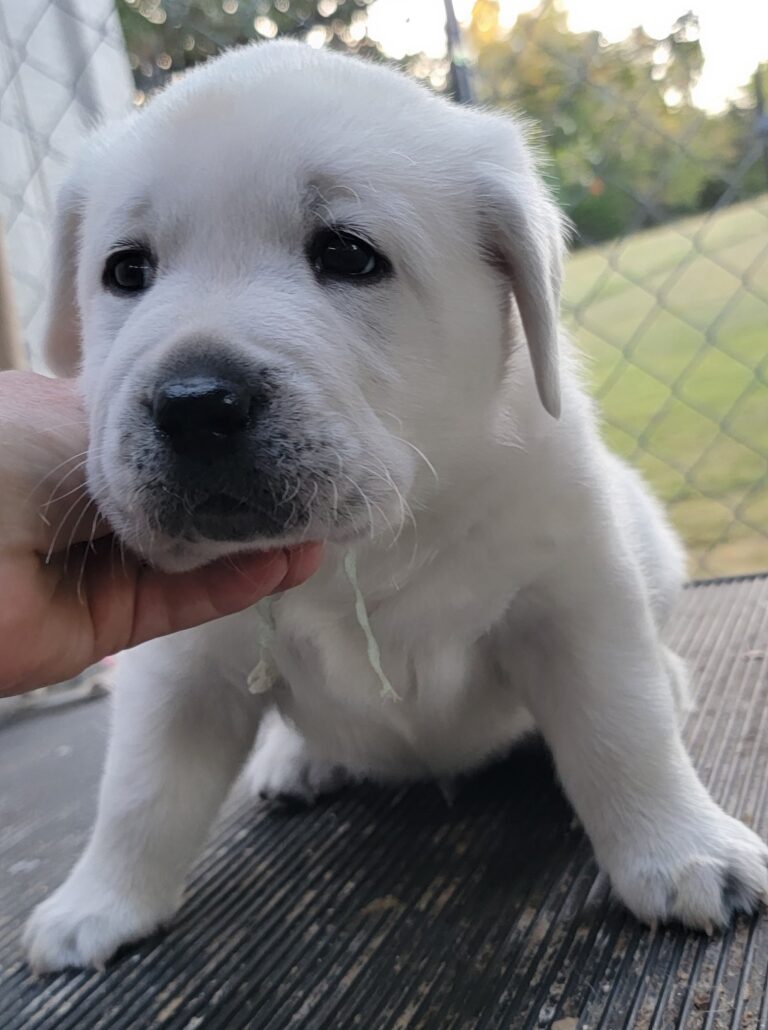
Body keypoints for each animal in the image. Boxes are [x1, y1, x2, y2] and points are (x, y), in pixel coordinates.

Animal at [23, 42, 765, 972]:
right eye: (126, 271)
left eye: (347, 254)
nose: (194, 404)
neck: (361, 548)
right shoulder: (177, 664)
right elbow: (140, 785)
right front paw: (99, 901)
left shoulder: (574, 593)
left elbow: (622, 727)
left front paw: (684, 851)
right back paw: (298, 758)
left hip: (651, 545)